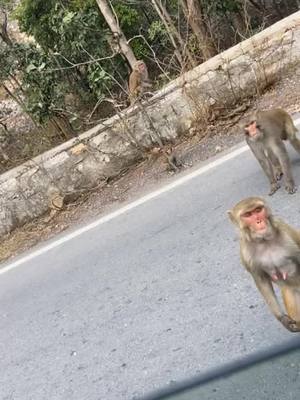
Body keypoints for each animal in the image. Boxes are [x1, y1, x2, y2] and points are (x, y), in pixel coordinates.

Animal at [227, 196, 300, 332]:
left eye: (258, 210)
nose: (259, 221)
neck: (264, 241)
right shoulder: (246, 254)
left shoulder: (286, 231)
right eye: (248, 215)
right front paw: (282, 318)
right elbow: (261, 280)